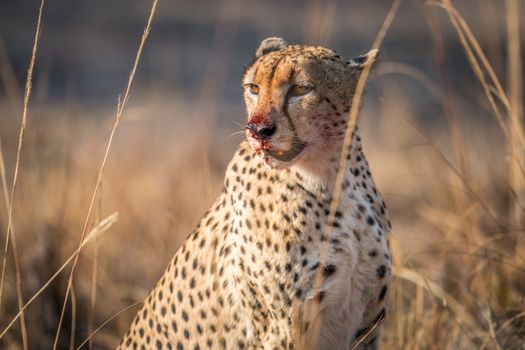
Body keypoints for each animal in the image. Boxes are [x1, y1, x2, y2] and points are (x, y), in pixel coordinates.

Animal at [118, 37, 388, 348]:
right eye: (254, 88)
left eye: (300, 89)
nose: (258, 130)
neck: (335, 180)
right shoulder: (285, 328)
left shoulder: (367, 325)